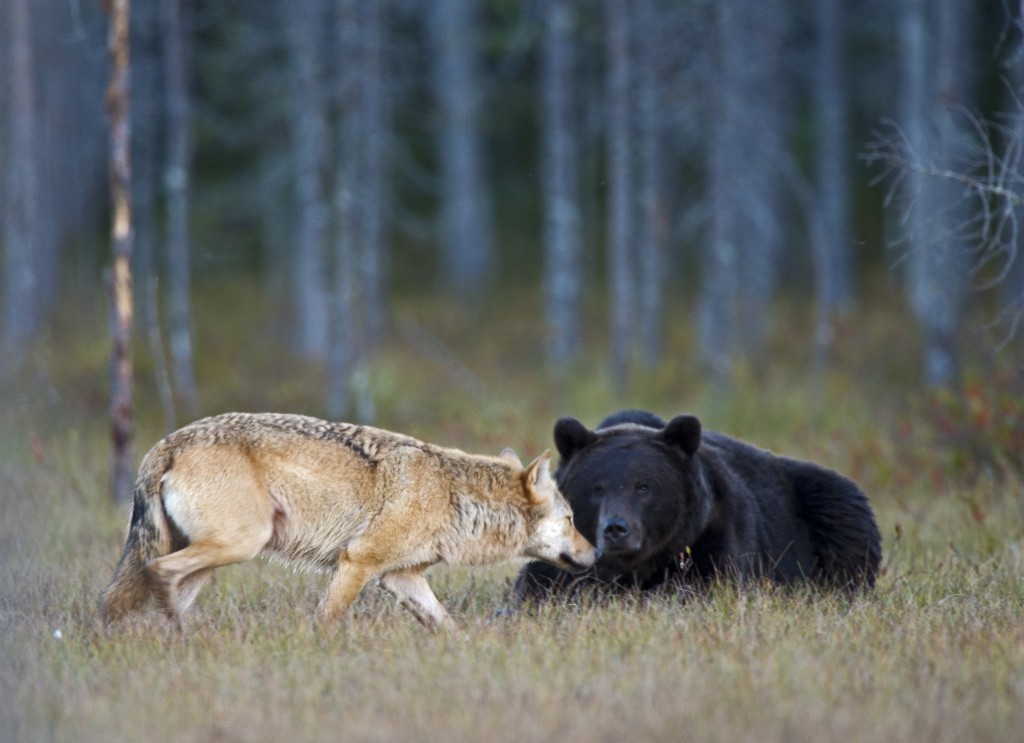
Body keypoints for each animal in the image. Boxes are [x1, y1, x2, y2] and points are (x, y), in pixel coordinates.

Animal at [99, 412, 597, 630]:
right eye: (572, 518)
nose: (597, 551)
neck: (453, 495)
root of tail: (167, 443)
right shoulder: (357, 562)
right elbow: (327, 619)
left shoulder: (401, 578)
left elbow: (447, 626)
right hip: (237, 545)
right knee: (158, 572)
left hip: (213, 560)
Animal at [513, 409, 882, 602]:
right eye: (597, 487)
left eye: (644, 486)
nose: (616, 528)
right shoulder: (560, 554)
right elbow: (540, 589)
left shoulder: (709, 540)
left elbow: (703, 589)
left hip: (823, 506)